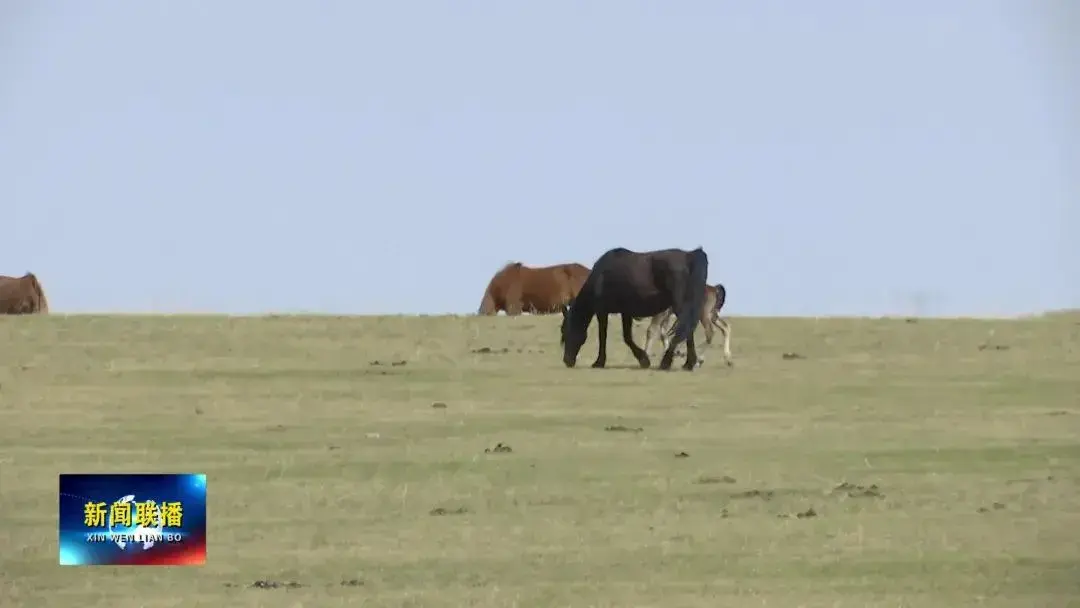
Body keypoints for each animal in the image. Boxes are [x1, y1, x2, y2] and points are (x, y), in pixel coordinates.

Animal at [561, 247, 712, 371]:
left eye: (565, 331)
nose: (567, 361)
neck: (600, 278)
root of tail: (689, 256)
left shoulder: (602, 312)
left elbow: (604, 336)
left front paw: (599, 362)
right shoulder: (625, 312)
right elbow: (627, 336)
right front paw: (643, 360)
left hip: (680, 306)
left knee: (685, 329)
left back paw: (668, 362)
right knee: (687, 330)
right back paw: (688, 363)